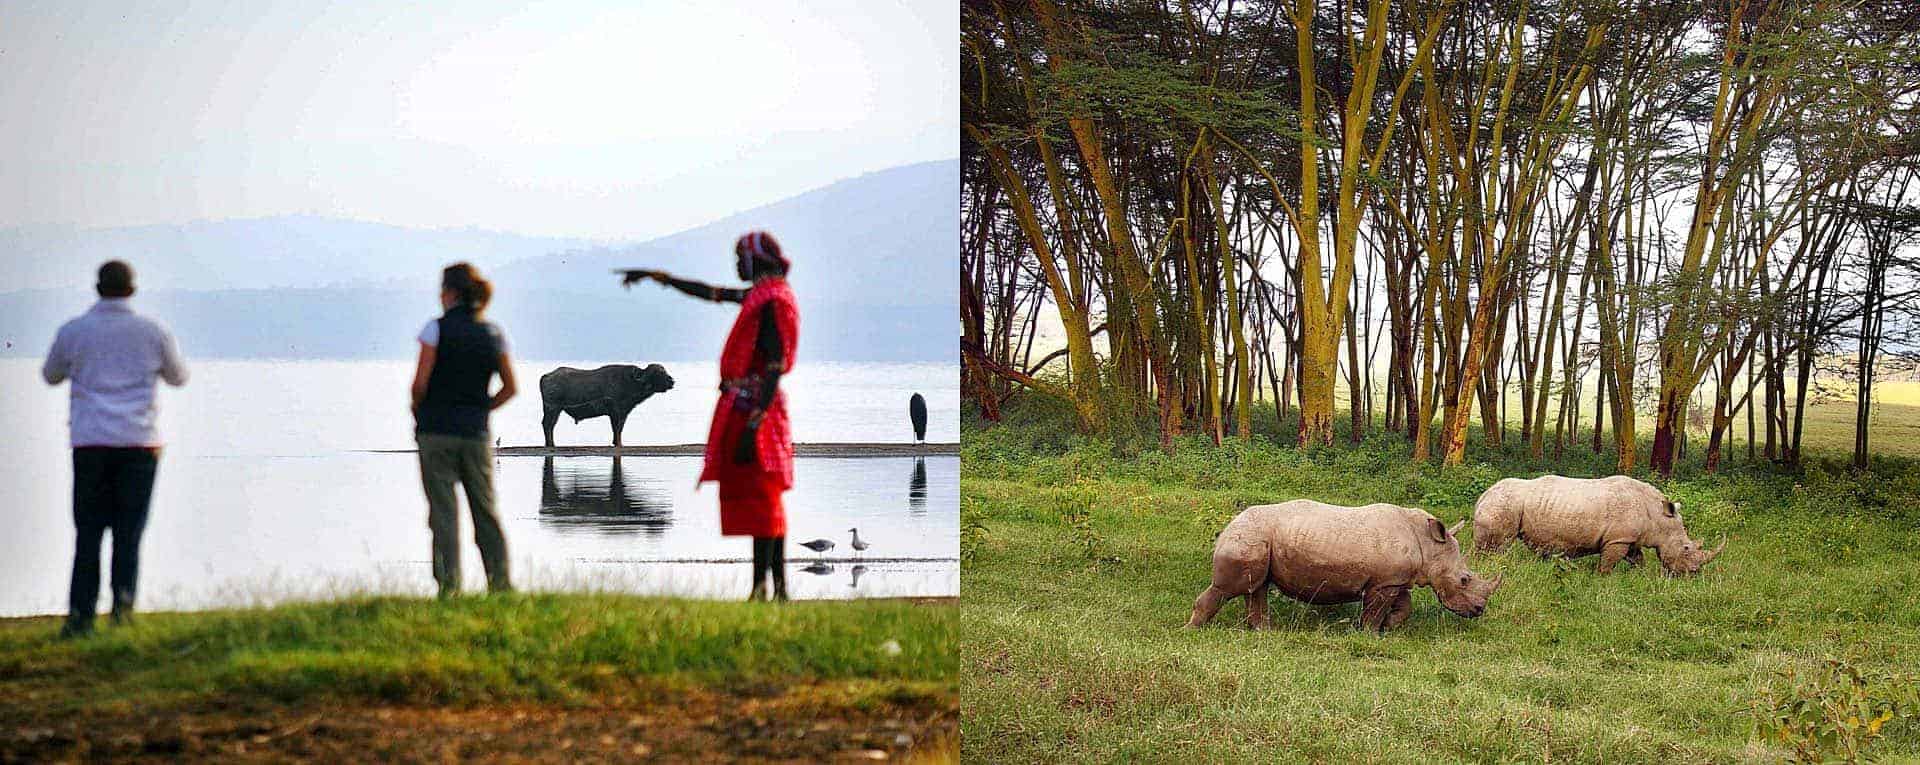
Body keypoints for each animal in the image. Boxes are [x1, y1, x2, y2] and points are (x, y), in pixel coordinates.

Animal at [541, 365, 675, 447]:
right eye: (658, 373)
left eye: (664, 370)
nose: (672, 381)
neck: (630, 382)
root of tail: (547, 376)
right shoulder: (615, 412)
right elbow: (616, 428)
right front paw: (618, 443)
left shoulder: (623, 413)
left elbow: (620, 428)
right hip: (552, 409)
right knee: (548, 425)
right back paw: (551, 444)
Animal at [1182, 499, 1497, 630]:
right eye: (1464, 580)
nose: (1478, 611)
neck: (1428, 545)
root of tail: (1229, 524)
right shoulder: (1384, 583)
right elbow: (1374, 612)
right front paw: (1369, 633)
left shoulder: (1394, 579)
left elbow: (1404, 606)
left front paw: (1391, 625)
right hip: (1248, 536)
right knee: (1230, 588)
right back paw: (1192, 630)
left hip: (1258, 538)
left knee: (1255, 587)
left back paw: (1264, 633)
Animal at [1466, 474, 1728, 576]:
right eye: (1686, 548)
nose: (1693, 574)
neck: (1658, 516)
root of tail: (1483, 495)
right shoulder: (1617, 538)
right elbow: (1609, 562)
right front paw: (1603, 578)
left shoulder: (1630, 538)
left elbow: (1637, 558)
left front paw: (1640, 576)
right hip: (1503, 504)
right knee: (1496, 546)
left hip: (1503, 502)